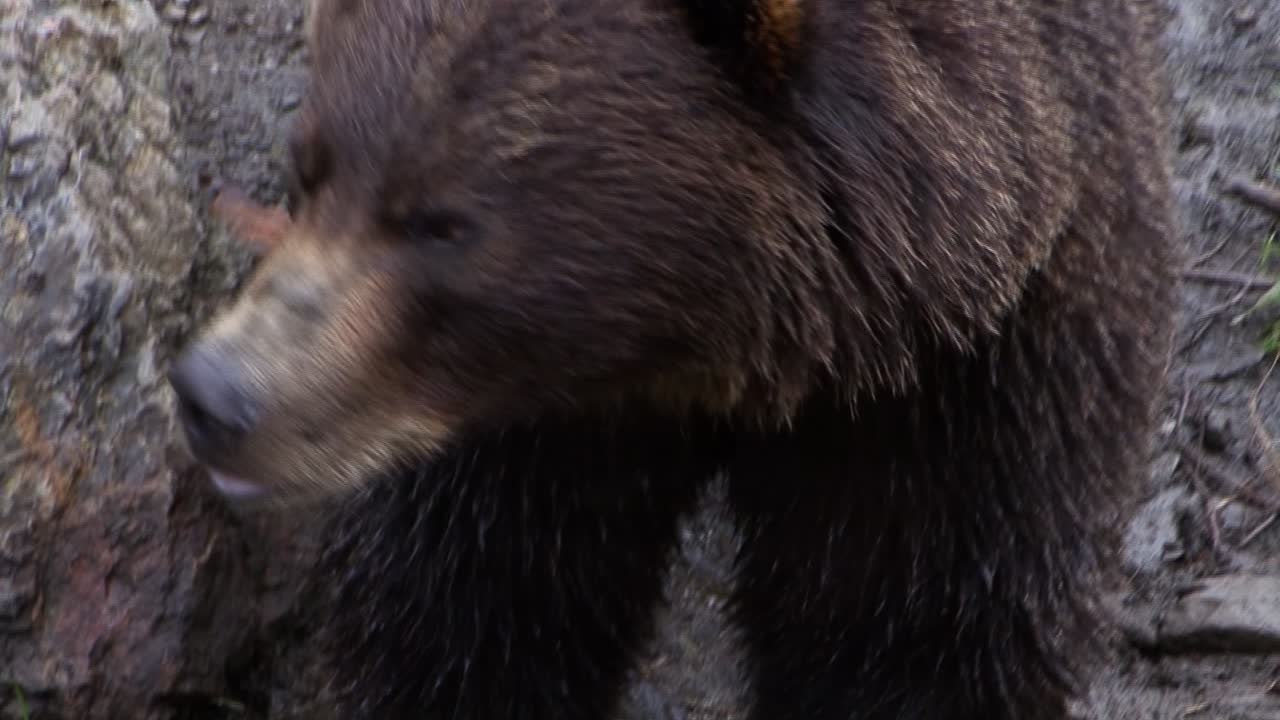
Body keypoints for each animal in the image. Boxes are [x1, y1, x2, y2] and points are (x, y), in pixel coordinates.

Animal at [167, 0, 1177, 718]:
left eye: (444, 224)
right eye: (309, 165)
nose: (217, 394)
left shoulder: (969, 367)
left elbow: (916, 621)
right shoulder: (527, 427)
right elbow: (468, 606)